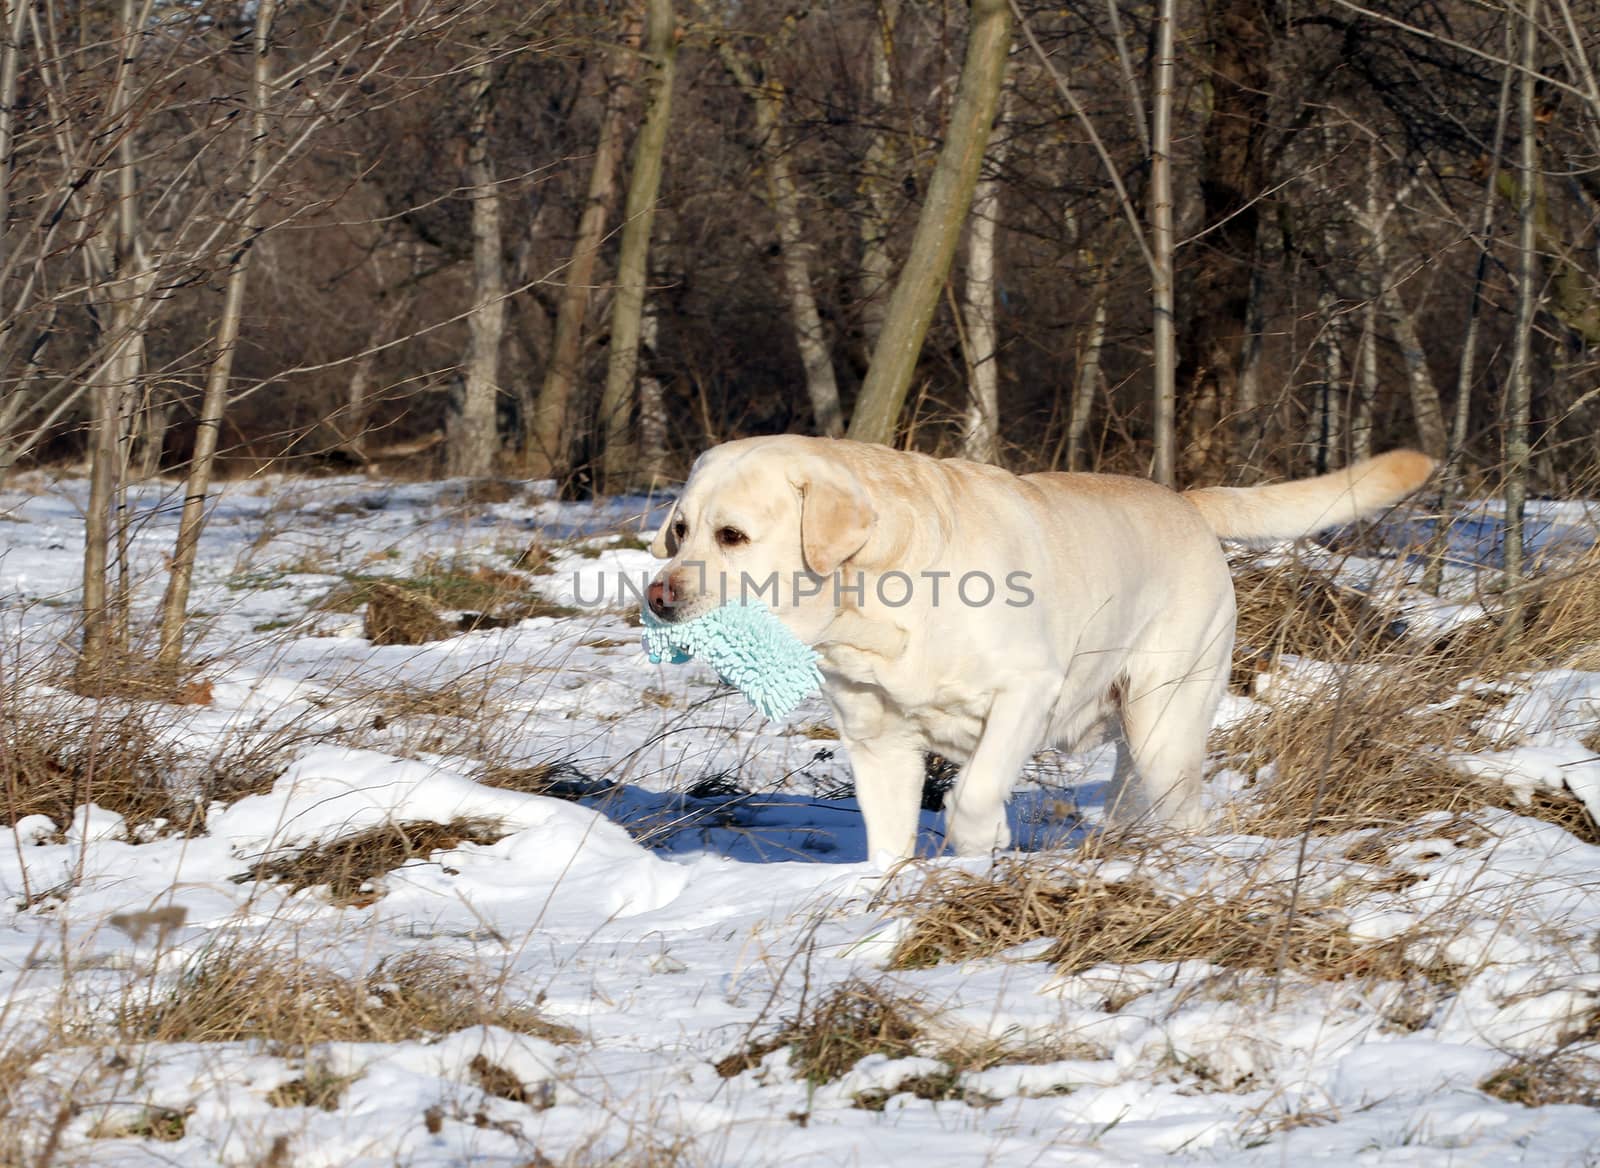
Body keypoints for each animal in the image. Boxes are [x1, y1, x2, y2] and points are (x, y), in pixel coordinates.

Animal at [643, 432, 1433, 857]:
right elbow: (888, 839)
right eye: (679, 530)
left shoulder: (1026, 692)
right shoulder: (878, 742)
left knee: (1184, 805)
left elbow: (972, 795)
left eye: (733, 535)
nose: (658, 596)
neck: (874, 605)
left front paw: (979, 846)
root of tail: (1185, 500)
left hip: (1165, 719)